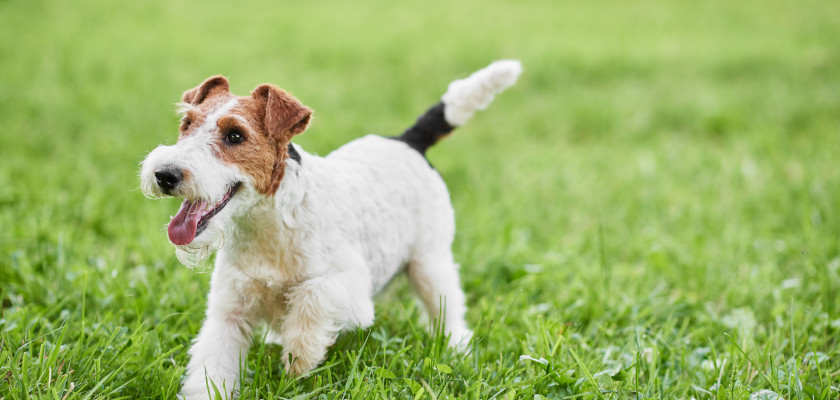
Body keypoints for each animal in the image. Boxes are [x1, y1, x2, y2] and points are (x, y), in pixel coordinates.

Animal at [141, 60, 520, 400]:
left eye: (235, 135)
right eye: (186, 124)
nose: (165, 174)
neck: (268, 222)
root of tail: (407, 141)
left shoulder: (352, 290)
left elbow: (313, 295)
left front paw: (300, 356)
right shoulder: (228, 312)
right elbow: (213, 367)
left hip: (430, 263)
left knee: (448, 310)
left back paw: (457, 348)